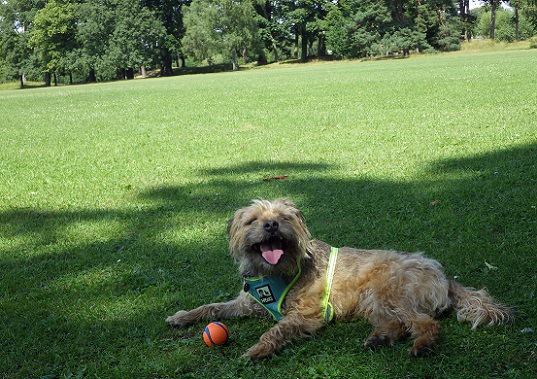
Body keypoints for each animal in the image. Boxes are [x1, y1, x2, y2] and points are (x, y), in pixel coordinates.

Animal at [165, 199, 512, 360]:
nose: (271, 225)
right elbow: (212, 306)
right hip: (374, 301)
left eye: (284, 217)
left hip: (388, 291)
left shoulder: (306, 314)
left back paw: (422, 345)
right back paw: (379, 338)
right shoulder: (246, 303)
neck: (277, 273)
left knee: (425, 323)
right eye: (253, 220)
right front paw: (183, 316)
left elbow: (278, 329)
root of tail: (442, 274)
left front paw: (259, 348)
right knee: (398, 323)